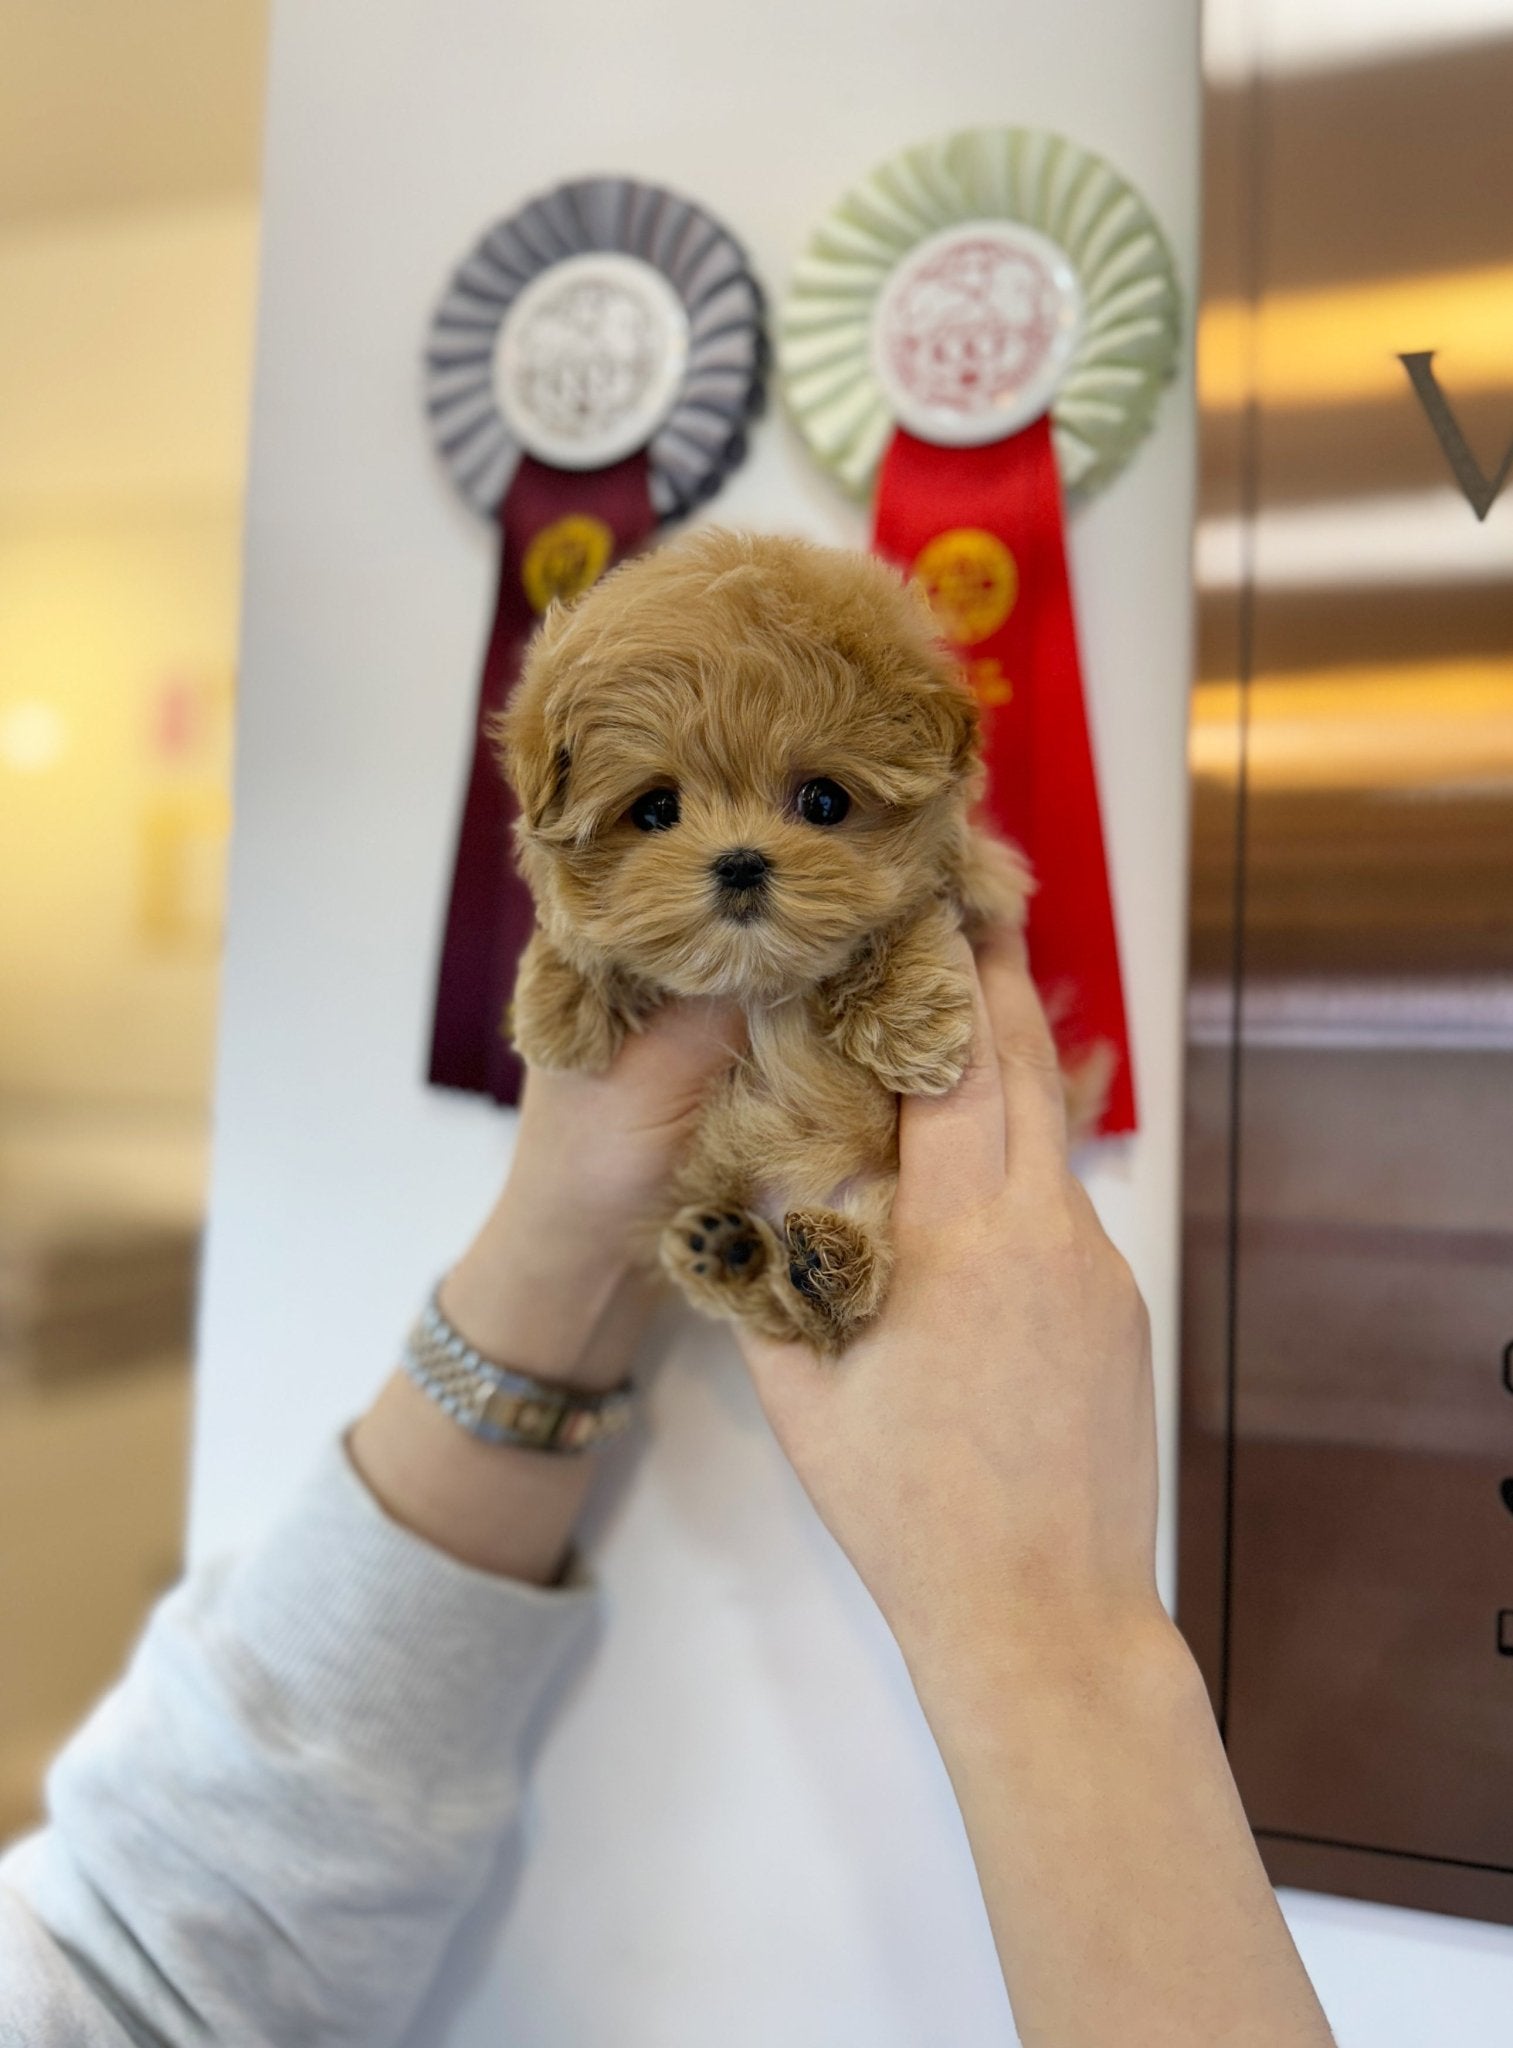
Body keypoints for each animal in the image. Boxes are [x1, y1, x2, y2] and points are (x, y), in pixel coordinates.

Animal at [497, 536, 1027, 1351]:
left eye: (824, 801)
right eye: (656, 809)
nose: (740, 861)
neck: (756, 978)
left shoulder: (986, 886)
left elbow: (912, 910)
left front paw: (910, 1026)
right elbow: (570, 926)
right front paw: (558, 1004)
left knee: (828, 1313)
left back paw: (826, 1263)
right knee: (778, 1307)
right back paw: (734, 1254)